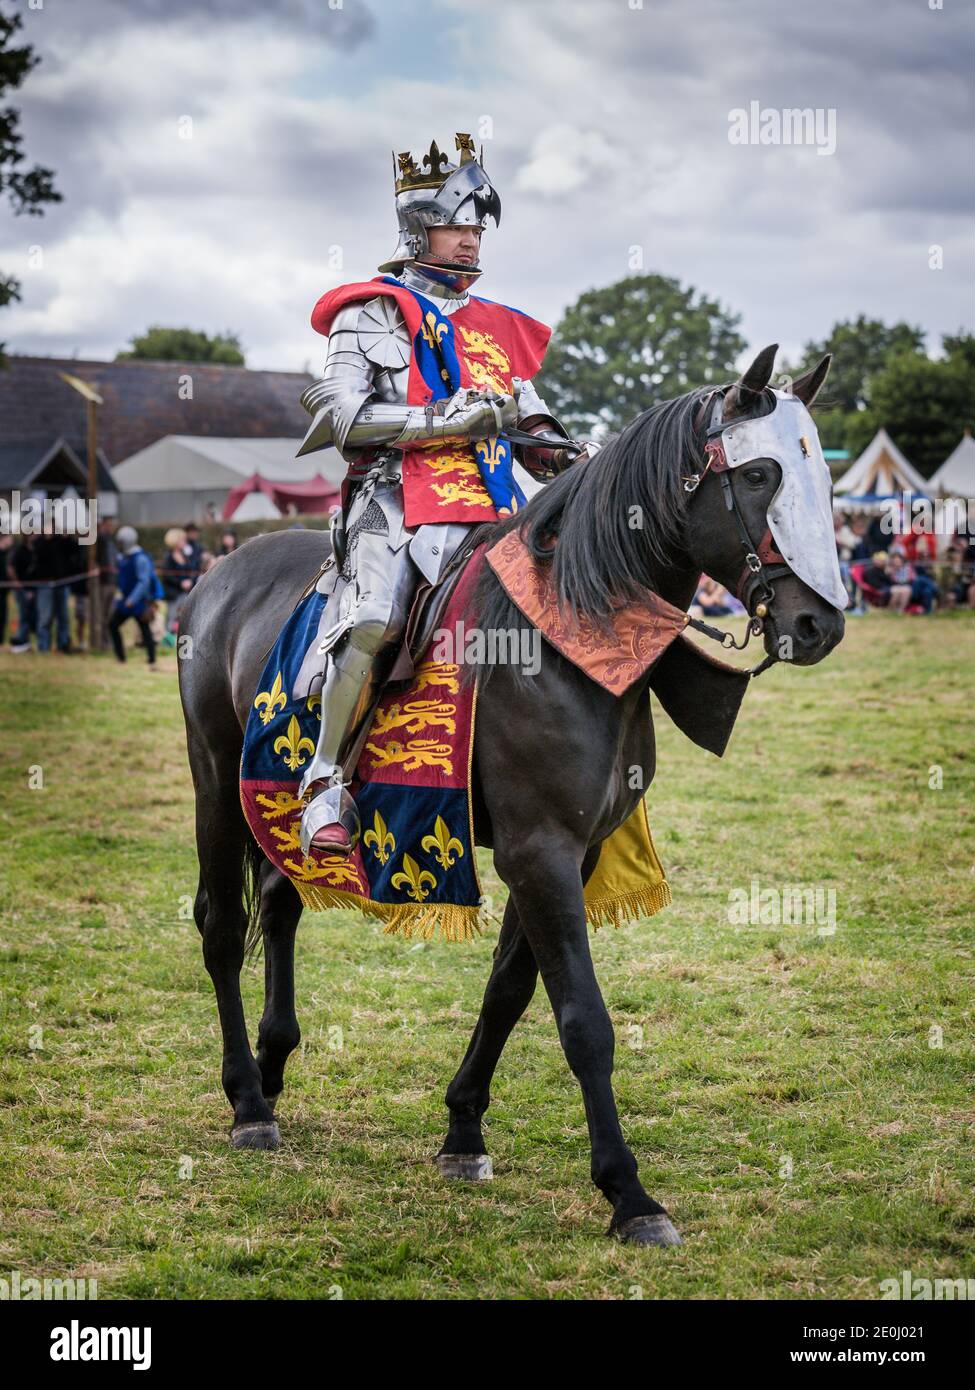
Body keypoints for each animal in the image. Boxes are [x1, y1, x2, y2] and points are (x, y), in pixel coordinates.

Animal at [179, 347, 840, 1251]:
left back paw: (274, 1066)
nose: (818, 626)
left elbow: (509, 992)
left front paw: (463, 1130)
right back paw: (247, 1098)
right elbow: (582, 1019)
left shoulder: (572, 851)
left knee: (280, 906)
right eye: (760, 474)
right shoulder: (539, 850)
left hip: (272, 797)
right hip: (215, 779)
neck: (567, 629)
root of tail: (215, 579)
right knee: (219, 926)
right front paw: (629, 1193)